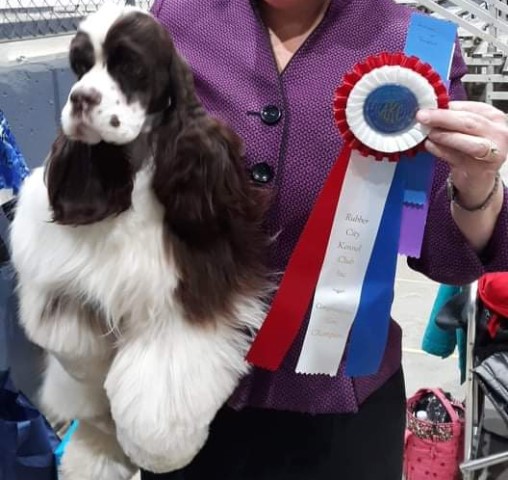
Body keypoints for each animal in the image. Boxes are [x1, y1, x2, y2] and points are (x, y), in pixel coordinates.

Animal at [8, 2, 270, 476]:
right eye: (78, 67)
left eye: (129, 65)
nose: (79, 98)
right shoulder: (61, 273)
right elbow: (69, 342)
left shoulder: (190, 284)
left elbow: (164, 379)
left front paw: (159, 447)